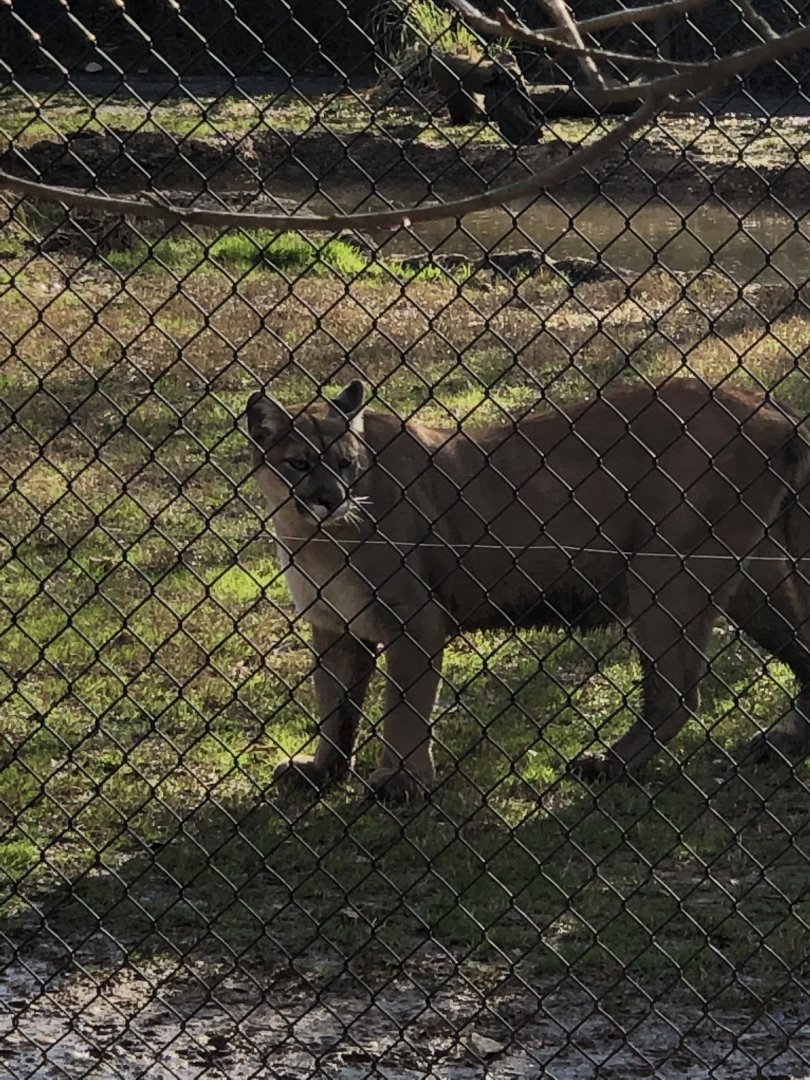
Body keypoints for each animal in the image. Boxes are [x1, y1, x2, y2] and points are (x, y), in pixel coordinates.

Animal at [246, 378, 810, 801]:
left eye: (345, 462)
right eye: (299, 463)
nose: (329, 498)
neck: (314, 536)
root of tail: (776, 412)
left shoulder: (415, 620)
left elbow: (403, 707)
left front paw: (401, 782)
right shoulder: (335, 627)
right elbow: (334, 706)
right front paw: (323, 771)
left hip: (664, 576)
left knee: (676, 695)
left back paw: (609, 764)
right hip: (750, 580)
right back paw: (788, 740)